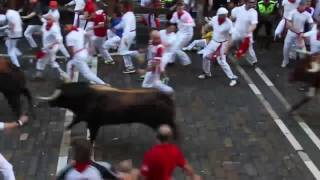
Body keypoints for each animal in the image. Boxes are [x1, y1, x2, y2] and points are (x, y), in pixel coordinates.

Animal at [38, 82, 178, 143]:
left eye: (59, 97)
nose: (49, 103)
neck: (87, 97)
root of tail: (166, 98)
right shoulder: (88, 120)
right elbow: (75, 122)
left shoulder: (93, 122)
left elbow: (88, 133)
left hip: (160, 121)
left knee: (172, 128)